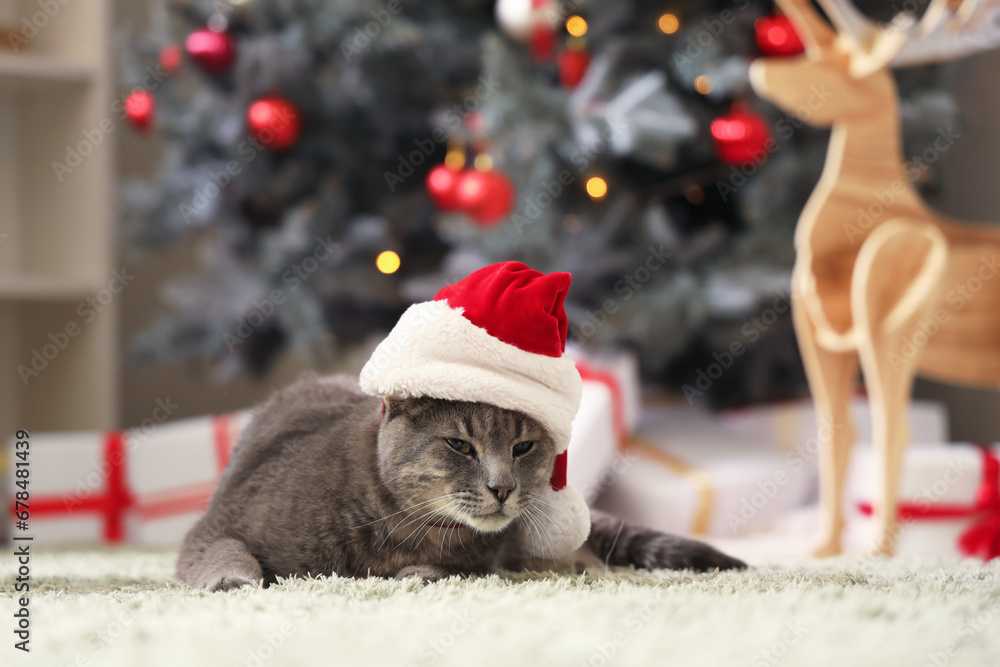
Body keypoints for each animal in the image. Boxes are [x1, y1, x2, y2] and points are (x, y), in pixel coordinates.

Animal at [178, 374, 744, 592]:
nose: (502, 487)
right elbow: (228, 551)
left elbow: (456, 568)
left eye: (523, 448)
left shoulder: (480, 557)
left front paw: (421, 573)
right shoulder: (216, 525)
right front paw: (231, 582)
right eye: (459, 446)